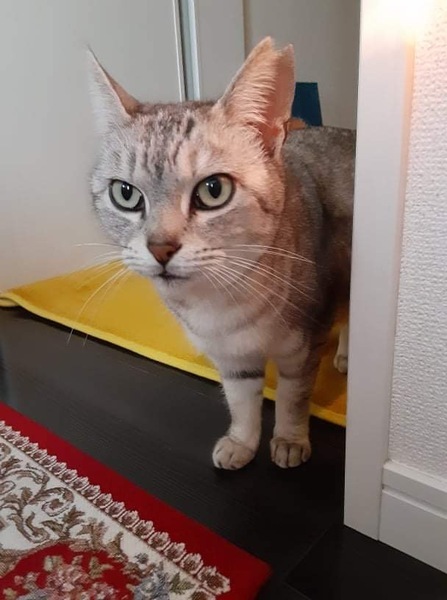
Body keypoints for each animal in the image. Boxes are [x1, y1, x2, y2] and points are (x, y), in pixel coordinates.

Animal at [88, 38, 354, 470]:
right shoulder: (232, 360)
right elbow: (241, 402)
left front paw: (289, 440)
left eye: (213, 190)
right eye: (125, 194)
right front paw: (242, 443)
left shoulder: (303, 346)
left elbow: (293, 399)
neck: (221, 300)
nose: (160, 247)